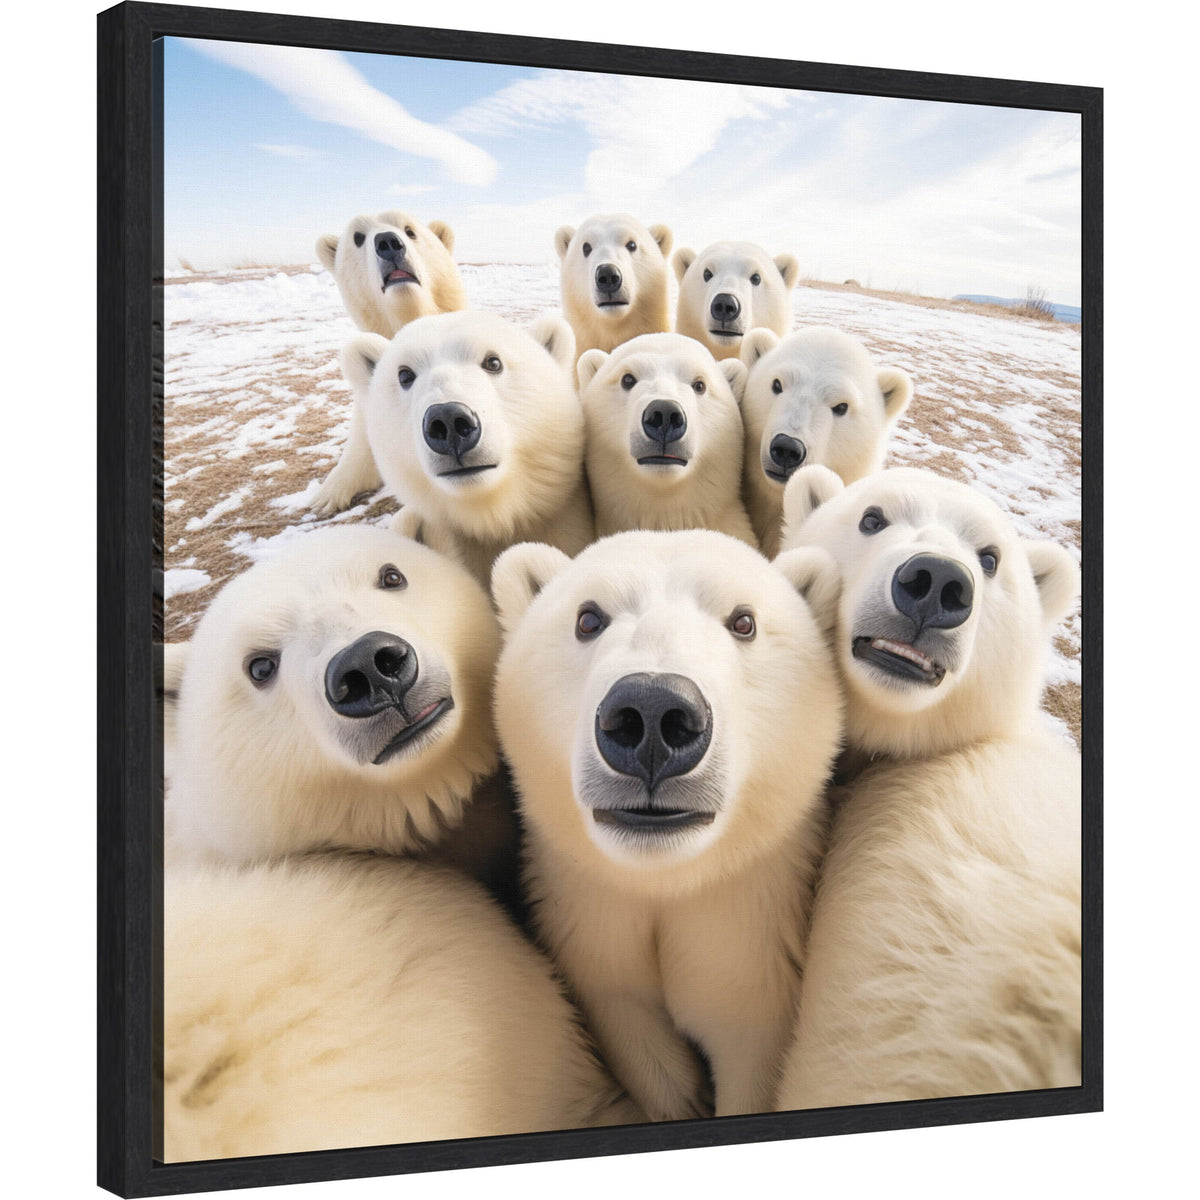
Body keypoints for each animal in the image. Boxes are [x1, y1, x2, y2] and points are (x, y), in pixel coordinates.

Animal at [491, 529, 844, 1121]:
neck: (666, 880)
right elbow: (628, 1019)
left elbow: (748, 1037)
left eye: (743, 621)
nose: (653, 713)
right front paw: (685, 1098)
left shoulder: (749, 926)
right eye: (588, 617)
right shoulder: (591, 917)